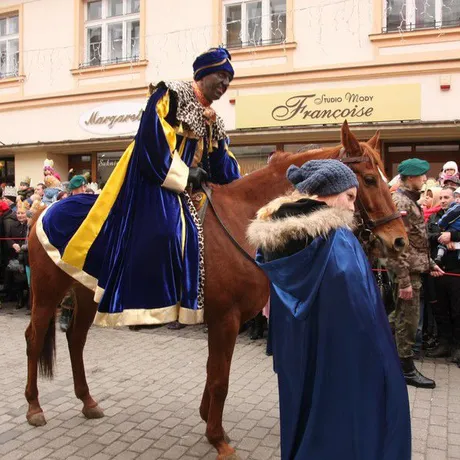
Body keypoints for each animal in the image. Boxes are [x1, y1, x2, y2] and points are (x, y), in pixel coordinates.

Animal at [25, 122, 406, 460]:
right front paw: (217, 438)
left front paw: (208, 420)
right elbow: (220, 377)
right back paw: (34, 407)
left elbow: (212, 372)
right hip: (46, 293)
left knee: (75, 338)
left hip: (86, 293)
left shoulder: (221, 320)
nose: (399, 240)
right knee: (34, 338)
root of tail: (44, 209)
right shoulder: (225, 318)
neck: (242, 222)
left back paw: (87, 401)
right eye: (369, 180)